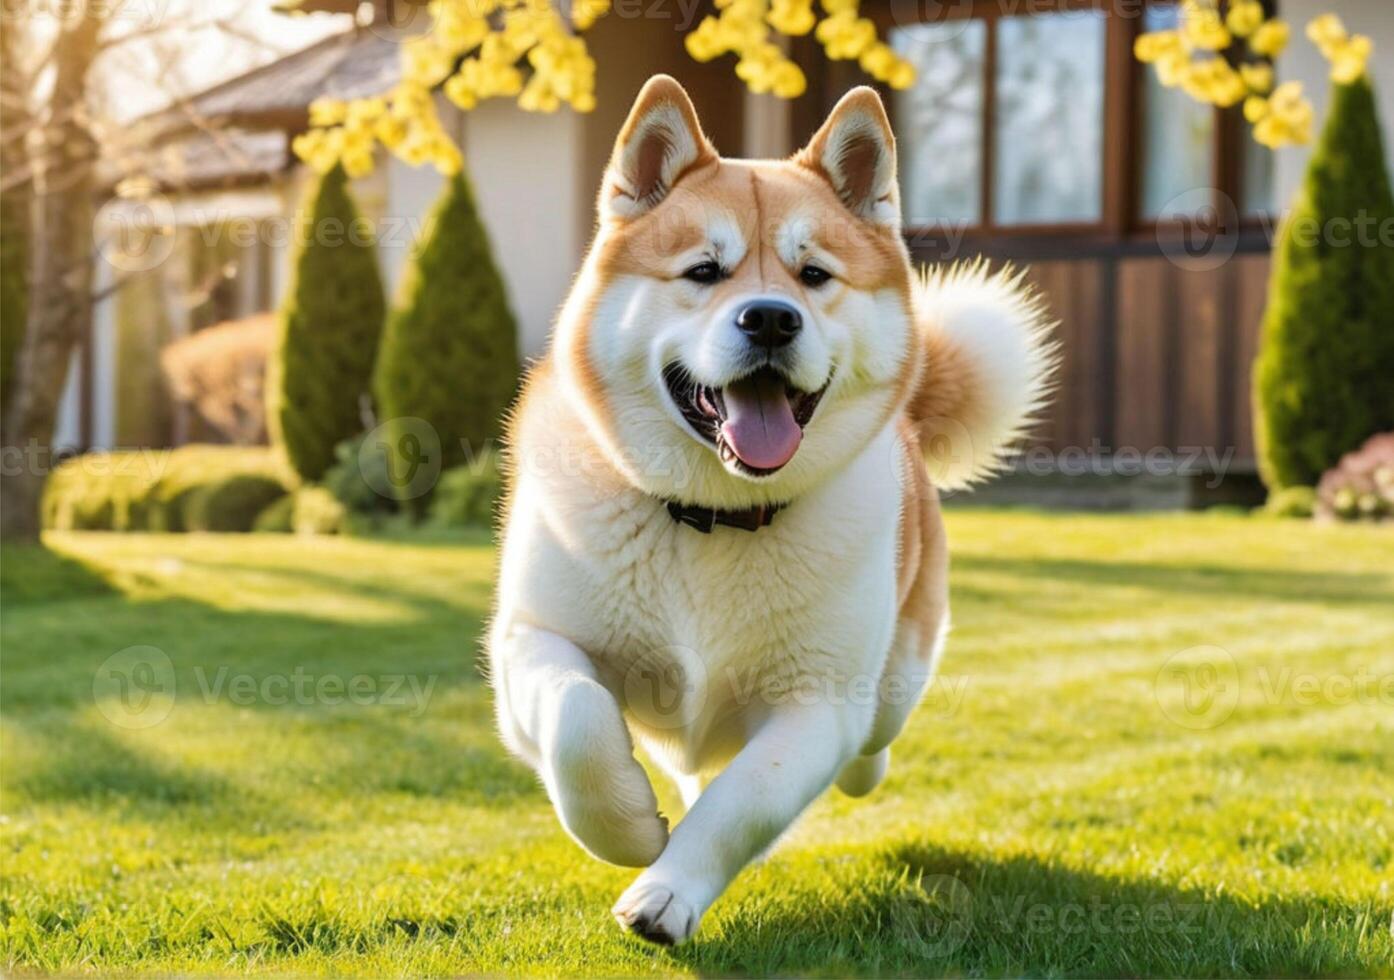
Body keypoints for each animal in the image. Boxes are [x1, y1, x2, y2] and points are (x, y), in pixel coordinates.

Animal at [493, 72, 1053, 947]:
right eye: (703, 270)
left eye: (813, 275)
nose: (770, 317)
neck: (710, 517)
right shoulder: (533, 641)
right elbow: (580, 724)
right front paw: (629, 830)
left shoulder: (815, 704)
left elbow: (745, 799)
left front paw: (669, 889)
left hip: (899, 670)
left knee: (871, 738)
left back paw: (860, 767)